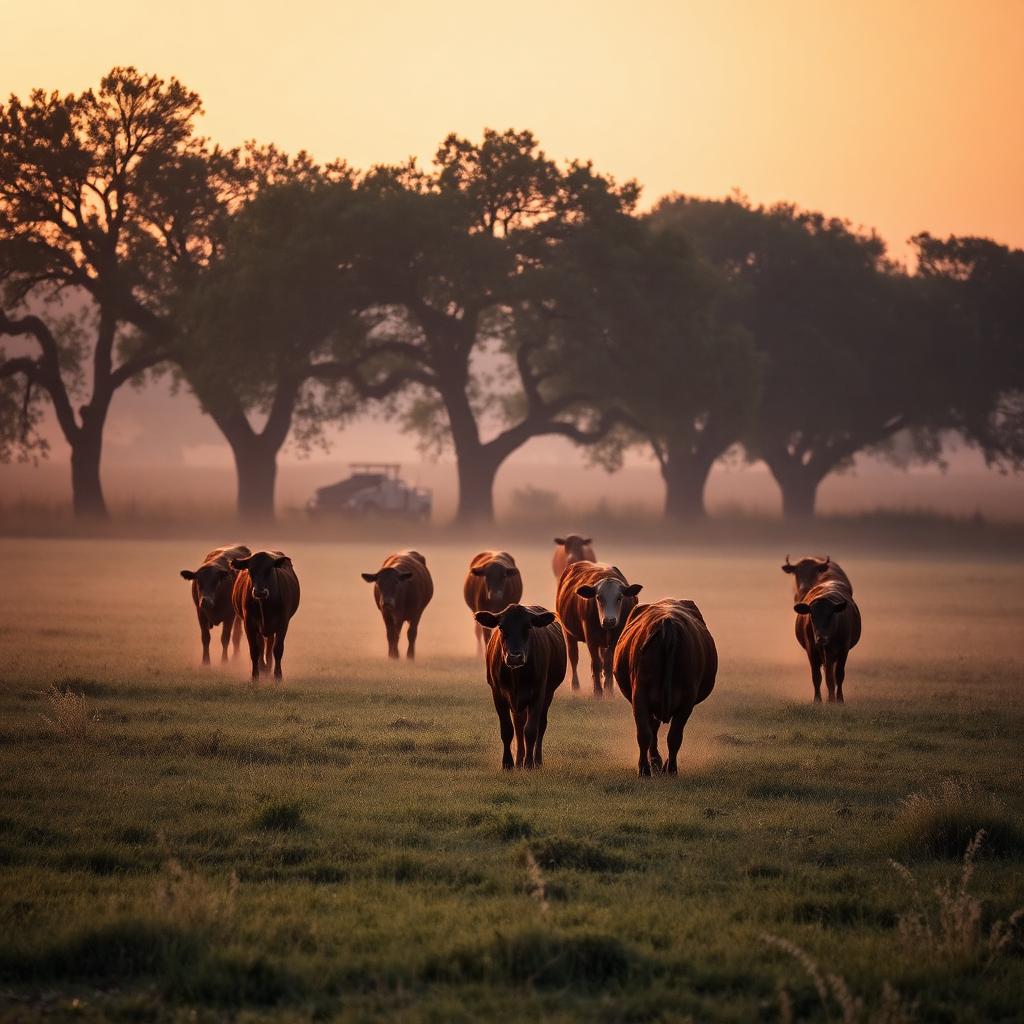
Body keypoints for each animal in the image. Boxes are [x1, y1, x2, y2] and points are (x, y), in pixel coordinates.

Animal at [230, 550, 301, 682]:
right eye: (251, 570)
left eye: (269, 570)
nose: (259, 592)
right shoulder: (249, 624)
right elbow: (254, 650)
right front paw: (255, 677)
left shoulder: (283, 623)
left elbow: (277, 649)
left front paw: (278, 676)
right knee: (262, 646)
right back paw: (263, 669)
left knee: (269, 646)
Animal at [473, 604, 566, 770]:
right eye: (501, 627)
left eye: (528, 627)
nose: (515, 657)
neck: (516, 675)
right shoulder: (498, 694)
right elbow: (508, 730)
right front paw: (508, 763)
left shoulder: (538, 694)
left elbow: (531, 730)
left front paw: (529, 764)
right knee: (518, 726)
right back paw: (518, 761)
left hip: (548, 694)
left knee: (541, 725)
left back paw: (537, 761)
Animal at [556, 560, 642, 695]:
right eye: (598, 597)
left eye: (619, 598)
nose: (609, 620)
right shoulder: (591, 639)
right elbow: (596, 664)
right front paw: (598, 691)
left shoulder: (615, 639)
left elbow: (608, 664)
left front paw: (609, 690)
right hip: (568, 633)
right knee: (574, 658)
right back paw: (575, 687)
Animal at [613, 599, 717, 777]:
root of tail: (667, 625)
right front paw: (659, 763)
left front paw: (659, 763)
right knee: (661, 734)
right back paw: (661, 767)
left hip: (647, 696)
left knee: (653, 734)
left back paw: (650, 768)